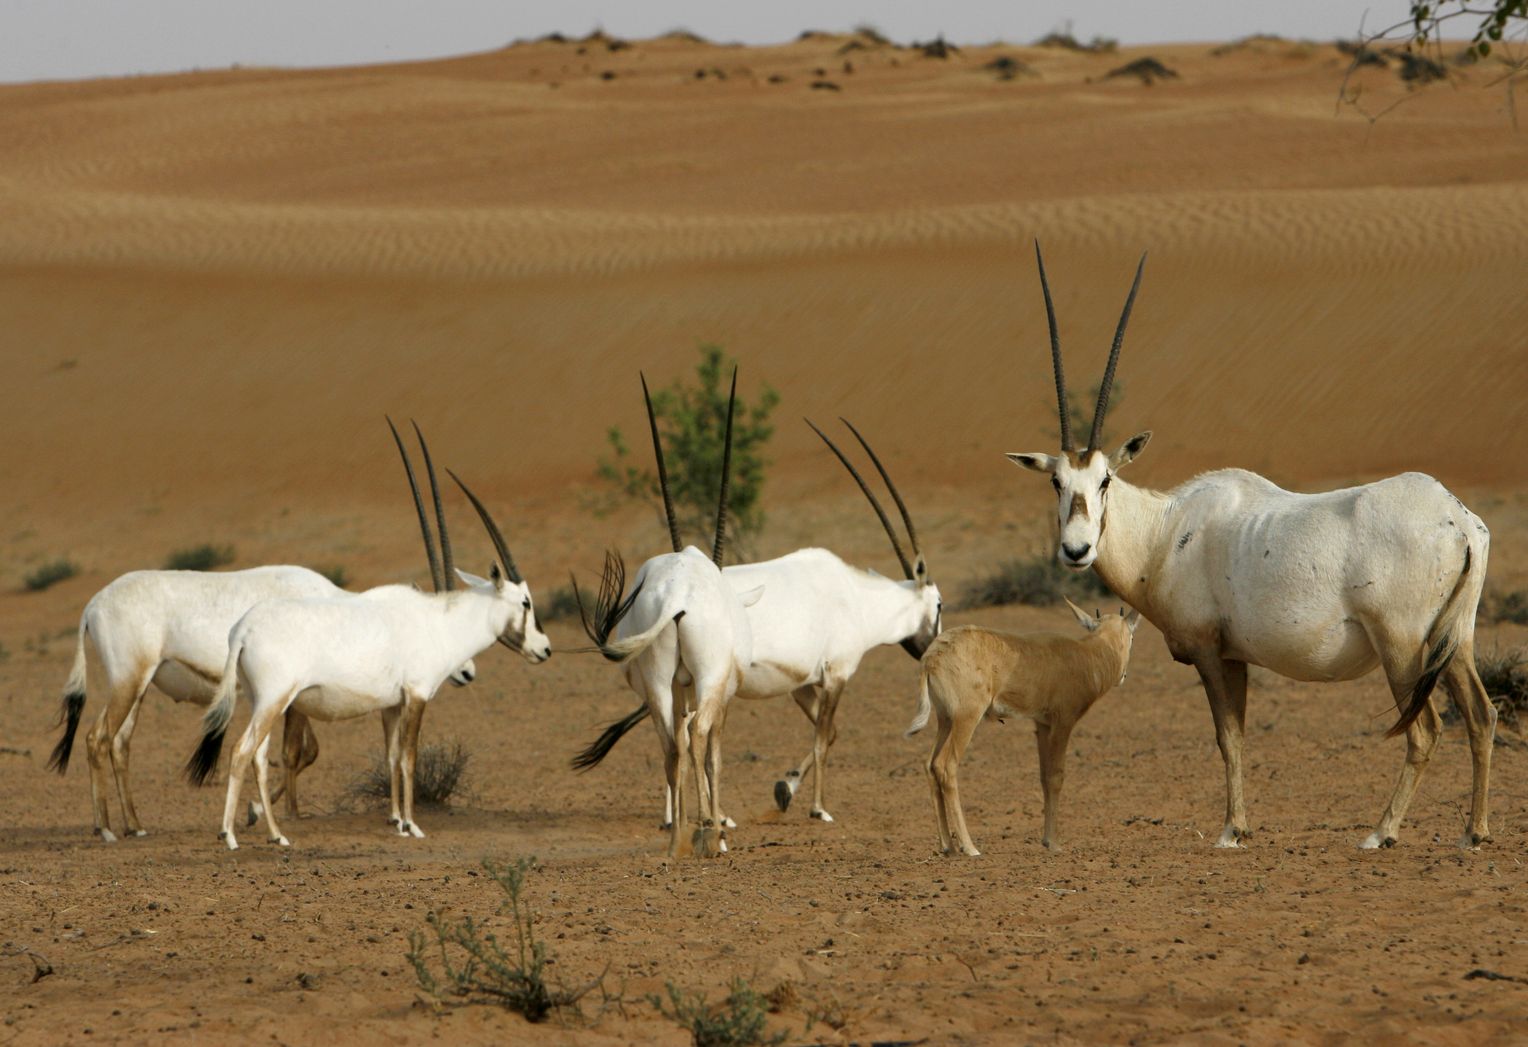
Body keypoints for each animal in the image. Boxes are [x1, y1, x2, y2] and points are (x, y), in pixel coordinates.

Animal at [898, 599, 1142, 855]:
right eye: (1132, 635)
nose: (1123, 676)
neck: (1087, 654)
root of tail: (932, 657)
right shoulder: (1063, 723)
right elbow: (1056, 776)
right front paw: (1054, 844)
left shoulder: (1042, 725)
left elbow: (1045, 776)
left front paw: (1046, 840)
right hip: (966, 718)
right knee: (945, 766)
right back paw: (970, 848)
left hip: (946, 720)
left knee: (929, 765)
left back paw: (948, 847)